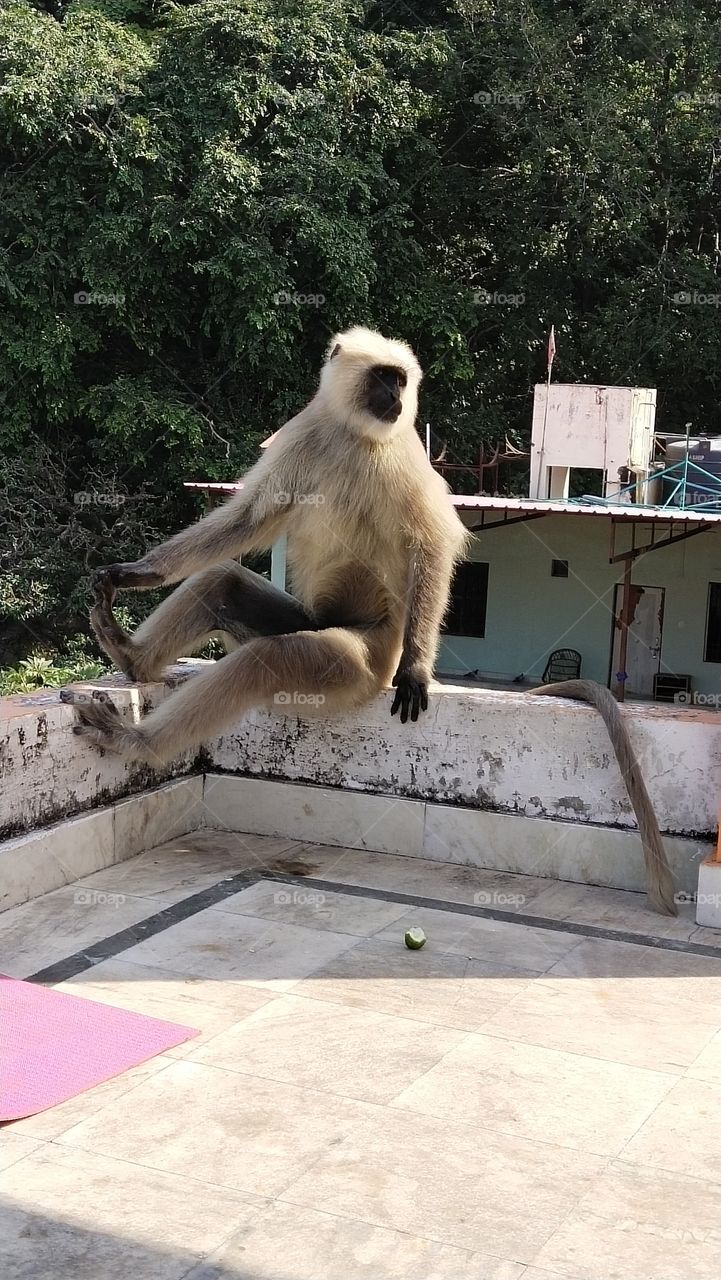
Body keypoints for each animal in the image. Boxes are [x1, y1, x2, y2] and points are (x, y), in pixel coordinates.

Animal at [61, 326, 470, 766]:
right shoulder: (306, 430)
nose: (395, 396)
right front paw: (138, 572)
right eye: (382, 377)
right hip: (306, 618)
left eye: (400, 380)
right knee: (221, 582)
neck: (351, 432)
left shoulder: (401, 450)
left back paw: (136, 740)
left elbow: (432, 541)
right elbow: (247, 520)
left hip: (366, 659)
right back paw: (130, 656)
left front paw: (415, 671)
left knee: (267, 659)